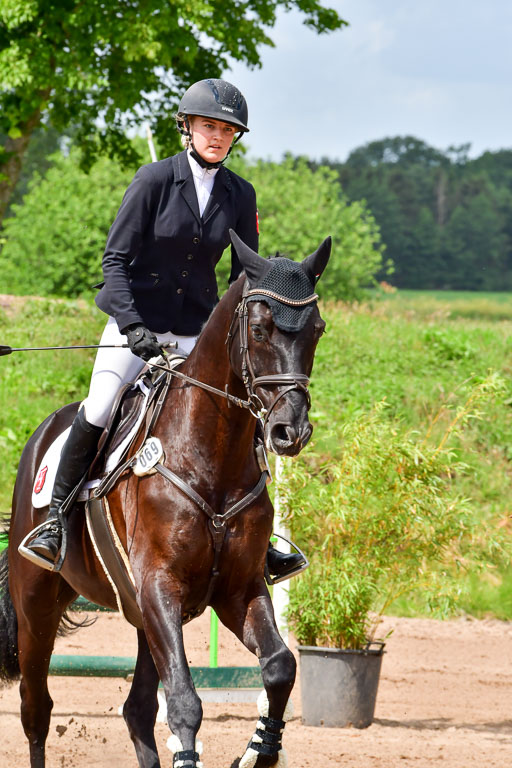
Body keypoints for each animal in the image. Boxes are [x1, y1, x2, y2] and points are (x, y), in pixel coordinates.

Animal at [0, 231, 331, 768]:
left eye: (316, 330)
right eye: (260, 330)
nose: (290, 431)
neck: (211, 455)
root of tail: (44, 433)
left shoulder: (237, 589)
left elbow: (280, 666)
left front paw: (259, 751)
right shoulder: (159, 586)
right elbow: (183, 701)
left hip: (139, 614)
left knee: (136, 708)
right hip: (37, 604)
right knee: (36, 707)